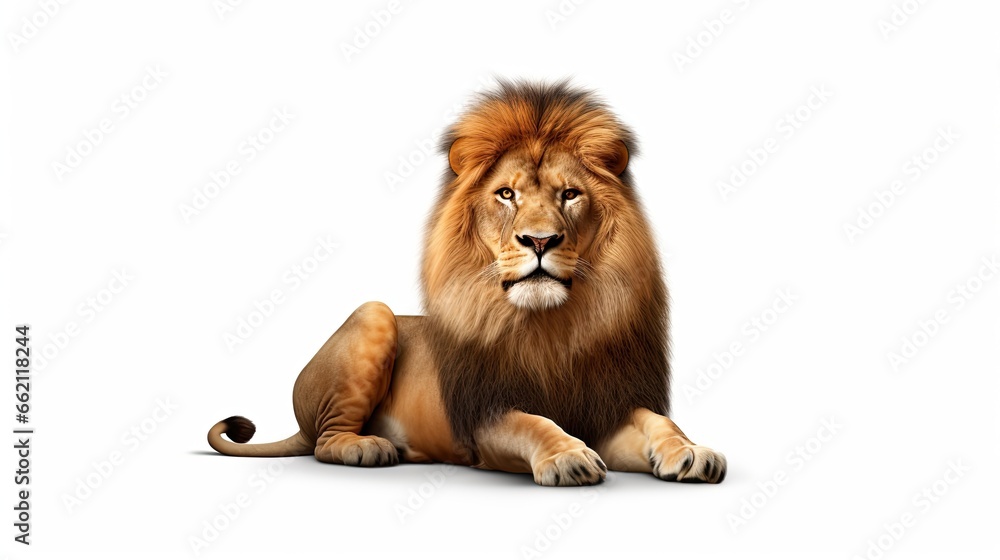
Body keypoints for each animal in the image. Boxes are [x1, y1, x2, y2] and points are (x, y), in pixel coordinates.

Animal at [207, 80, 726, 486]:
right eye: (507, 194)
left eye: (570, 194)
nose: (540, 240)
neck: (552, 328)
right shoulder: (484, 418)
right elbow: (533, 423)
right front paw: (567, 456)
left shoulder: (606, 406)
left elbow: (657, 421)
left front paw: (691, 450)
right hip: (373, 315)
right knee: (323, 441)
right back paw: (367, 447)